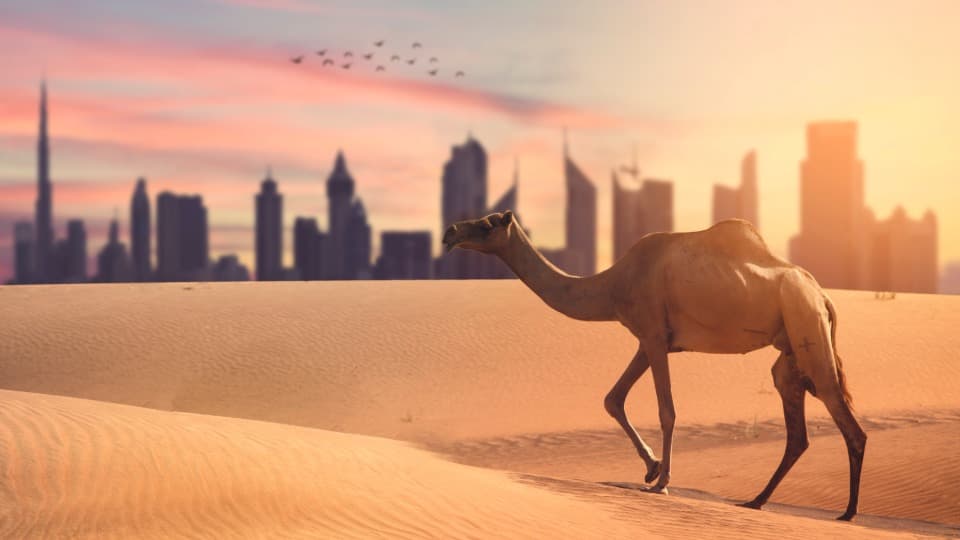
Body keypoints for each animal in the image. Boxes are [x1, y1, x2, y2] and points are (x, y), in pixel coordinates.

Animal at [442, 210, 867, 521]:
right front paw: (651, 468)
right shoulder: (649, 339)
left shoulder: (654, 335)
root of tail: (823, 295)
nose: (449, 231)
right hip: (791, 347)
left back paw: (847, 513)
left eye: (487, 223)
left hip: (805, 322)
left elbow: (667, 410)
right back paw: (756, 501)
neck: (612, 285)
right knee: (796, 424)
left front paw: (661, 482)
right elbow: (613, 399)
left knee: (841, 410)